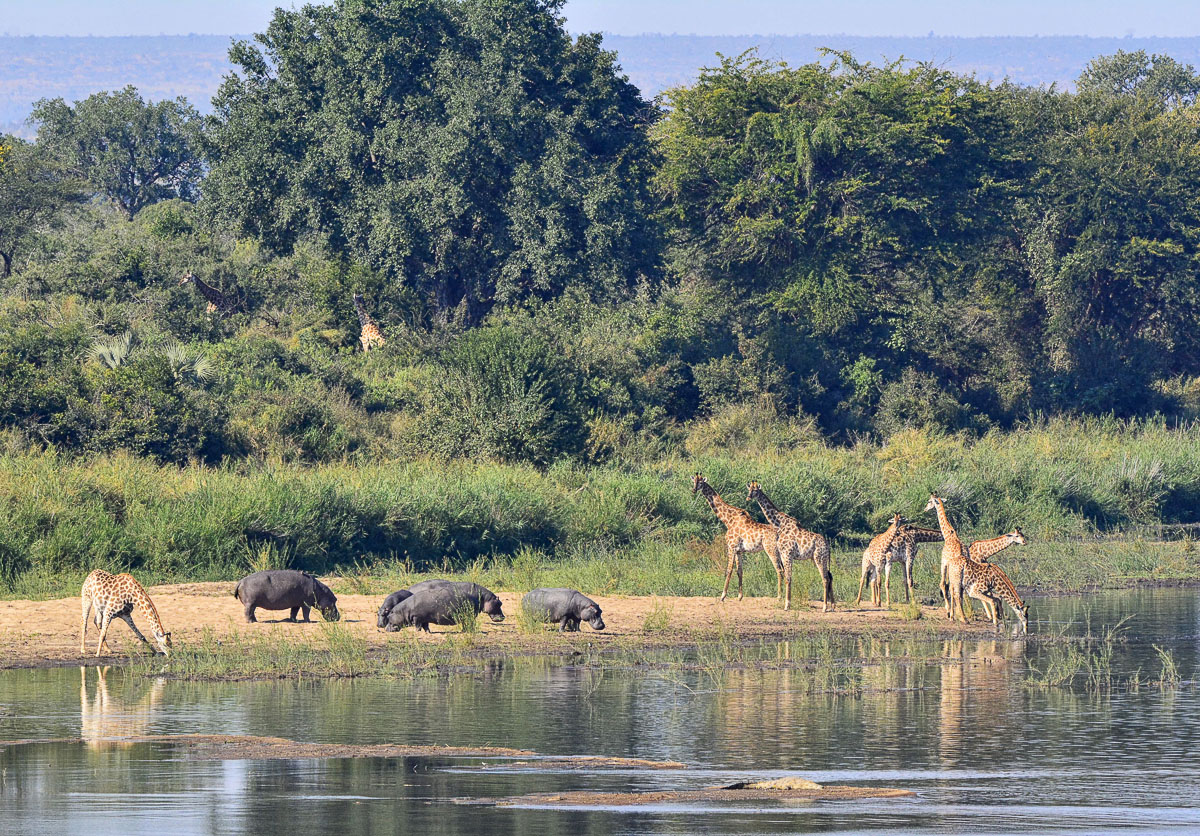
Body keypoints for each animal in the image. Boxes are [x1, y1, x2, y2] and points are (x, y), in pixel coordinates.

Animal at [692, 474, 784, 602]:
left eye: (700, 483)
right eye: (693, 481)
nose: (694, 490)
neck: (728, 520)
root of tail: (780, 534)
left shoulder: (731, 546)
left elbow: (729, 570)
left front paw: (723, 596)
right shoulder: (739, 550)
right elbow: (739, 571)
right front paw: (740, 596)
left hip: (771, 550)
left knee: (779, 569)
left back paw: (779, 596)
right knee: (784, 569)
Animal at [747, 481, 834, 611]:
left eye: (755, 490)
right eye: (749, 489)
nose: (748, 498)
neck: (780, 524)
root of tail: (827, 546)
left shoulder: (787, 554)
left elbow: (788, 577)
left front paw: (787, 605)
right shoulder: (784, 554)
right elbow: (788, 577)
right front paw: (787, 602)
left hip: (819, 558)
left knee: (825, 578)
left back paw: (824, 607)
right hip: (817, 559)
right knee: (829, 576)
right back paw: (832, 605)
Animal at [925, 493, 972, 623]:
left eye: (929, 501)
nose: (925, 509)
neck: (949, 535)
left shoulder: (944, 562)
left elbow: (942, 584)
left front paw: (948, 611)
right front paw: (952, 612)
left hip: (952, 570)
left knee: (953, 589)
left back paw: (956, 615)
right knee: (960, 590)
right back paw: (962, 615)